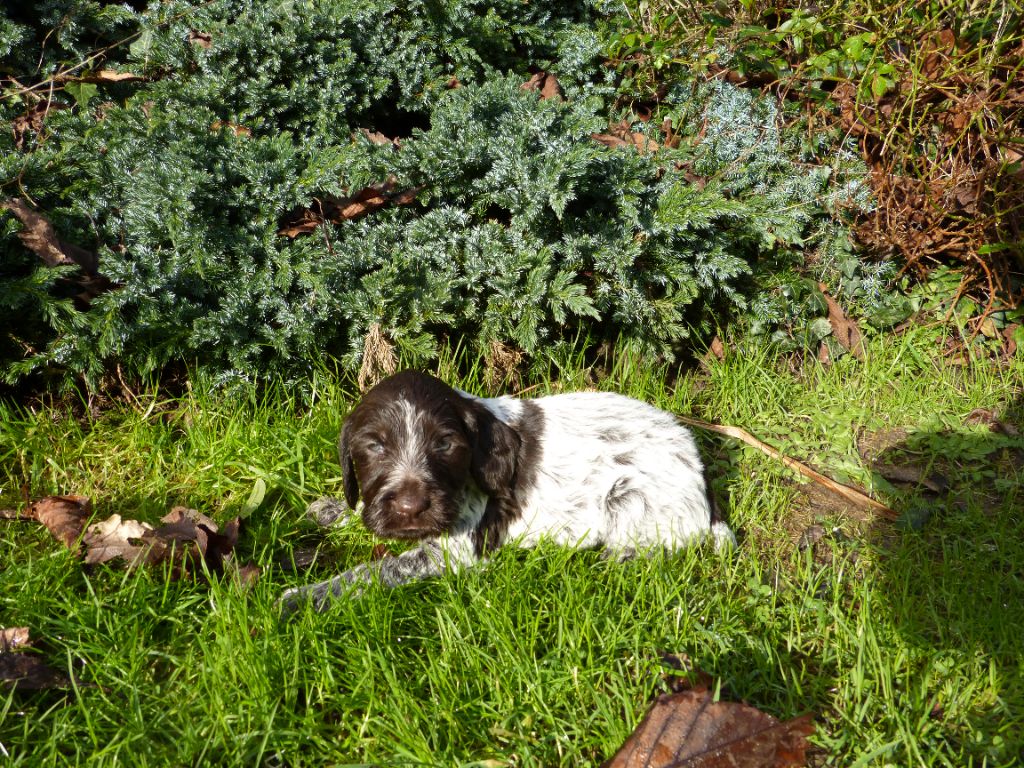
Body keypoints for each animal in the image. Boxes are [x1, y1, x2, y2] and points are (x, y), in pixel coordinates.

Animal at [276, 372, 733, 614]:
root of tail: (701, 473)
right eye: (374, 446)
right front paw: (333, 510)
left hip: (634, 503)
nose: (411, 506)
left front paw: (303, 598)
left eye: (445, 444)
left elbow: (375, 571)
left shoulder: (454, 550)